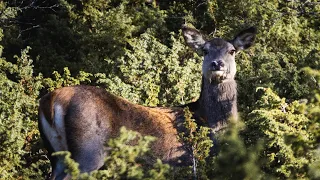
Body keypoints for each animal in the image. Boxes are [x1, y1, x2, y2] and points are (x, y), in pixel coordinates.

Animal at [38, 26, 256, 179]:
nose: (217, 64)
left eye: (232, 51)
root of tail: (52, 101)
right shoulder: (185, 162)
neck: (209, 122)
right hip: (87, 152)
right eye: (205, 50)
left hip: (55, 154)